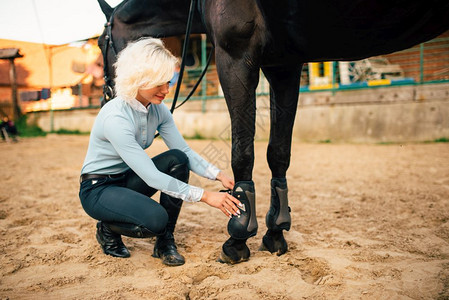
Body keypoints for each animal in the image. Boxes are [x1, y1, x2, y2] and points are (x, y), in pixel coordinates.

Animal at [96, 0, 448, 262]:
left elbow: (243, 151)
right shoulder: (284, 66)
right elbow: (278, 153)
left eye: (101, 43)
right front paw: (276, 231)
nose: (107, 95)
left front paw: (237, 237)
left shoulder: (235, 57)